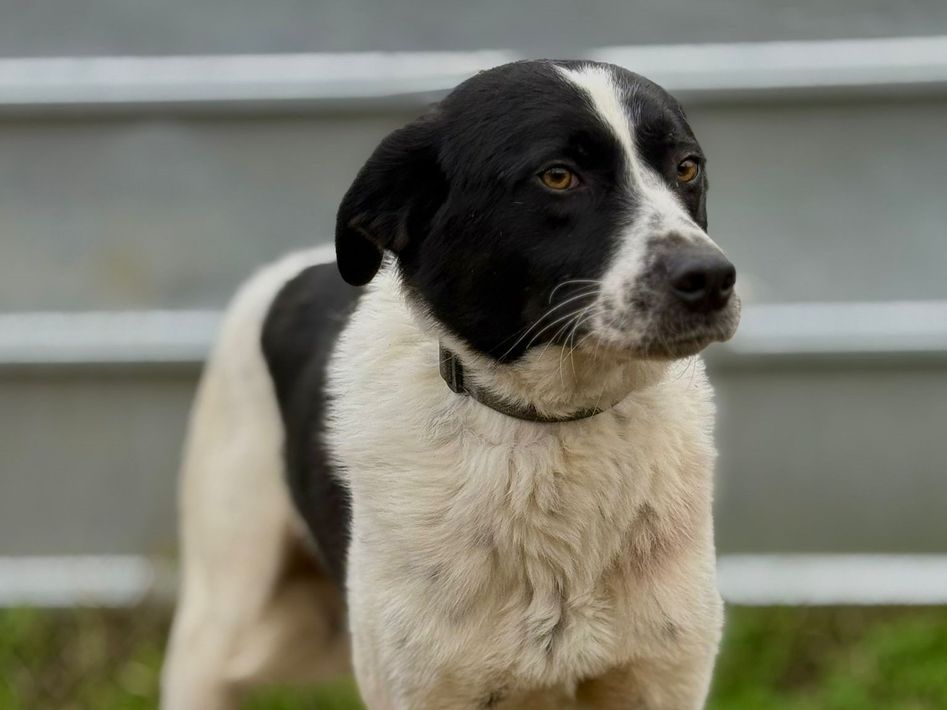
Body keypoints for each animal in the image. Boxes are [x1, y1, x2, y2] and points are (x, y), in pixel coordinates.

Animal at [162, 59, 740, 710]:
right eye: (558, 176)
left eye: (686, 167)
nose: (711, 278)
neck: (552, 426)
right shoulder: (422, 688)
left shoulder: (661, 680)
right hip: (216, 620)